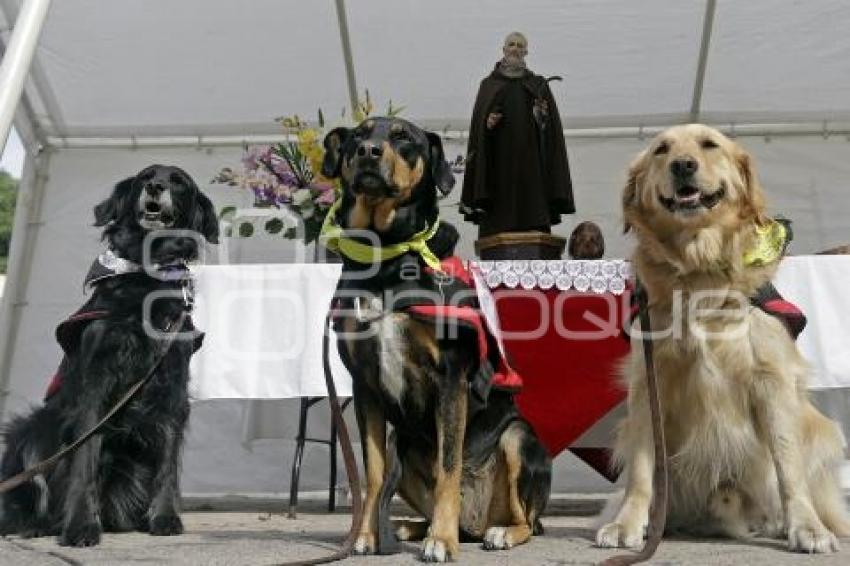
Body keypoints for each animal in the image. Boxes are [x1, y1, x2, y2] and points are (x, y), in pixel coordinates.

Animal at [0, 166, 219, 548]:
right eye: (145, 176)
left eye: (178, 182)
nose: (155, 186)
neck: (145, 278)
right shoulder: (96, 383)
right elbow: (85, 460)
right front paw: (80, 526)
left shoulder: (173, 385)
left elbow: (167, 463)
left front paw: (164, 517)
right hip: (30, 430)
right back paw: (36, 524)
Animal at [320, 118, 548, 564]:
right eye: (358, 136)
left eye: (404, 138)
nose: (369, 152)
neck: (388, 257)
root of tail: (475, 522)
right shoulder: (365, 384)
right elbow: (374, 472)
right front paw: (366, 535)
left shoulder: (450, 378)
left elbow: (448, 467)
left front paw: (441, 541)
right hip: (402, 444)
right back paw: (407, 526)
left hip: (518, 439)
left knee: (527, 521)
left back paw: (494, 532)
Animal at [596, 124, 848, 556]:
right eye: (662, 149)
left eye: (709, 144)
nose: (683, 165)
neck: (699, 270)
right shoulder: (649, 382)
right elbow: (644, 469)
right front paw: (627, 522)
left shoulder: (771, 379)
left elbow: (788, 464)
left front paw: (806, 527)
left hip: (822, 429)